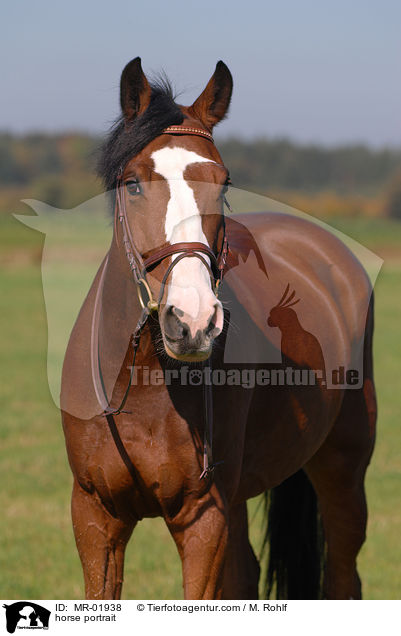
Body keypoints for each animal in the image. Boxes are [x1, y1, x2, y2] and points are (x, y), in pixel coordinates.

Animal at [59, 57, 376, 600]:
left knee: (342, 576)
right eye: (133, 183)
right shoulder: (96, 516)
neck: (142, 380)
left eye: (223, 183)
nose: (193, 321)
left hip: (343, 469)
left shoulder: (203, 518)